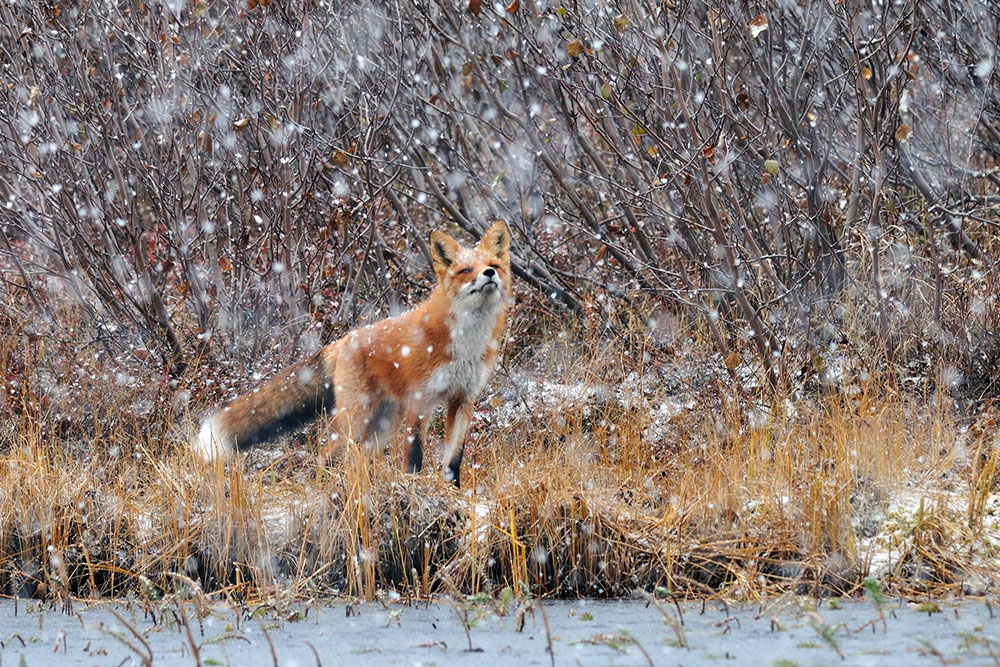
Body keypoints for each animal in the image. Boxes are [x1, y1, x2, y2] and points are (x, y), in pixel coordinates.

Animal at [192, 222, 512, 488]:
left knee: (359, 456)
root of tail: (341, 341)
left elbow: (454, 460)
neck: (466, 343)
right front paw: (413, 487)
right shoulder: (420, 401)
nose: (490, 274)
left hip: (382, 426)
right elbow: (414, 456)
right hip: (356, 420)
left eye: (493, 264)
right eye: (465, 270)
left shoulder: (463, 400)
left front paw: (455, 492)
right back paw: (323, 488)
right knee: (327, 452)